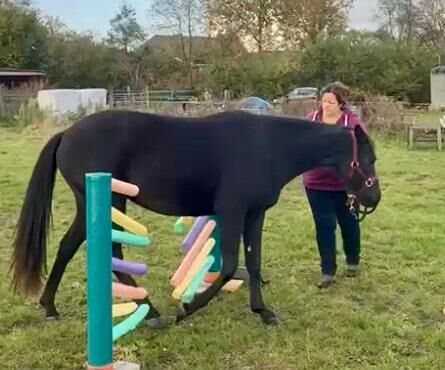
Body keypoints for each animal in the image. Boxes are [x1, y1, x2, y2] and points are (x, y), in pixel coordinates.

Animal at [8, 109, 380, 326]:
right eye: (369, 158)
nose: (373, 199)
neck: (268, 147)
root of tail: (66, 134)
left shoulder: (254, 214)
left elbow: (254, 263)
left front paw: (262, 311)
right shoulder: (232, 210)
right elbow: (230, 265)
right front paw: (187, 308)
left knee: (72, 248)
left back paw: (51, 307)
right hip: (108, 202)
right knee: (96, 252)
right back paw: (151, 313)